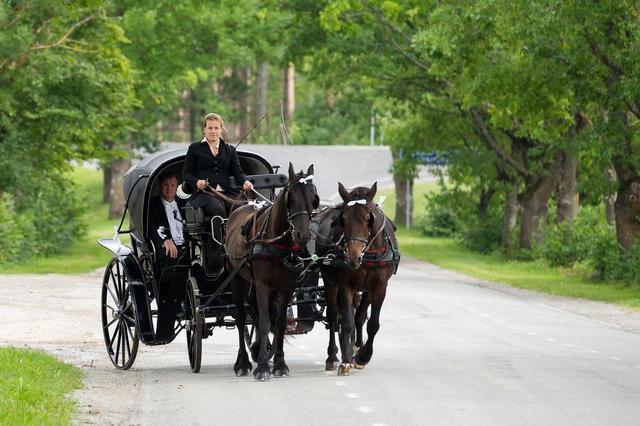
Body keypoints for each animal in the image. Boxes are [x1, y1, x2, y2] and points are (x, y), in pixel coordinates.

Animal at [224, 162, 318, 380]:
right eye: (291, 199)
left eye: (313, 200)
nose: (302, 236)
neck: (277, 243)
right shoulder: (262, 285)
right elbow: (265, 323)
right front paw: (262, 368)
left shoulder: (286, 287)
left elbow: (280, 323)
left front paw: (279, 364)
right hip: (237, 280)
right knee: (241, 318)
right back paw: (243, 362)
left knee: (256, 313)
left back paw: (260, 350)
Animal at [316, 181, 400, 374]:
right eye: (343, 219)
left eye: (368, 218)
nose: (352, 258)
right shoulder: (345, 285)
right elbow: (346, 322)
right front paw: (346, 361)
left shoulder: (379, 287)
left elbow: (371, 323)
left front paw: (363, 355)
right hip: (330, 283)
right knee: (333, 316)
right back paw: (333, 356)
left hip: (365, 289)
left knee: (360, 316)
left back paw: (356, 348)